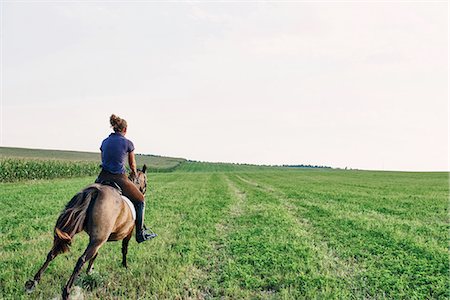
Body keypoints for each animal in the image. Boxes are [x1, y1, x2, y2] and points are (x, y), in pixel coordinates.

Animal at [25, 165, 149, 298]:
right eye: (145, 180)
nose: (144, 190)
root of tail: (96, 191)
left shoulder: (97, 239)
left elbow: (96, 255)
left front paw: (90, 271)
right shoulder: (126, 234)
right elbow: (124, 249)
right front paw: (125, 266)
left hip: (74, 230)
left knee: (52, 253)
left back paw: (34, 283)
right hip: (97, 238)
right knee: (81, 259)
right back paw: (66, 291)